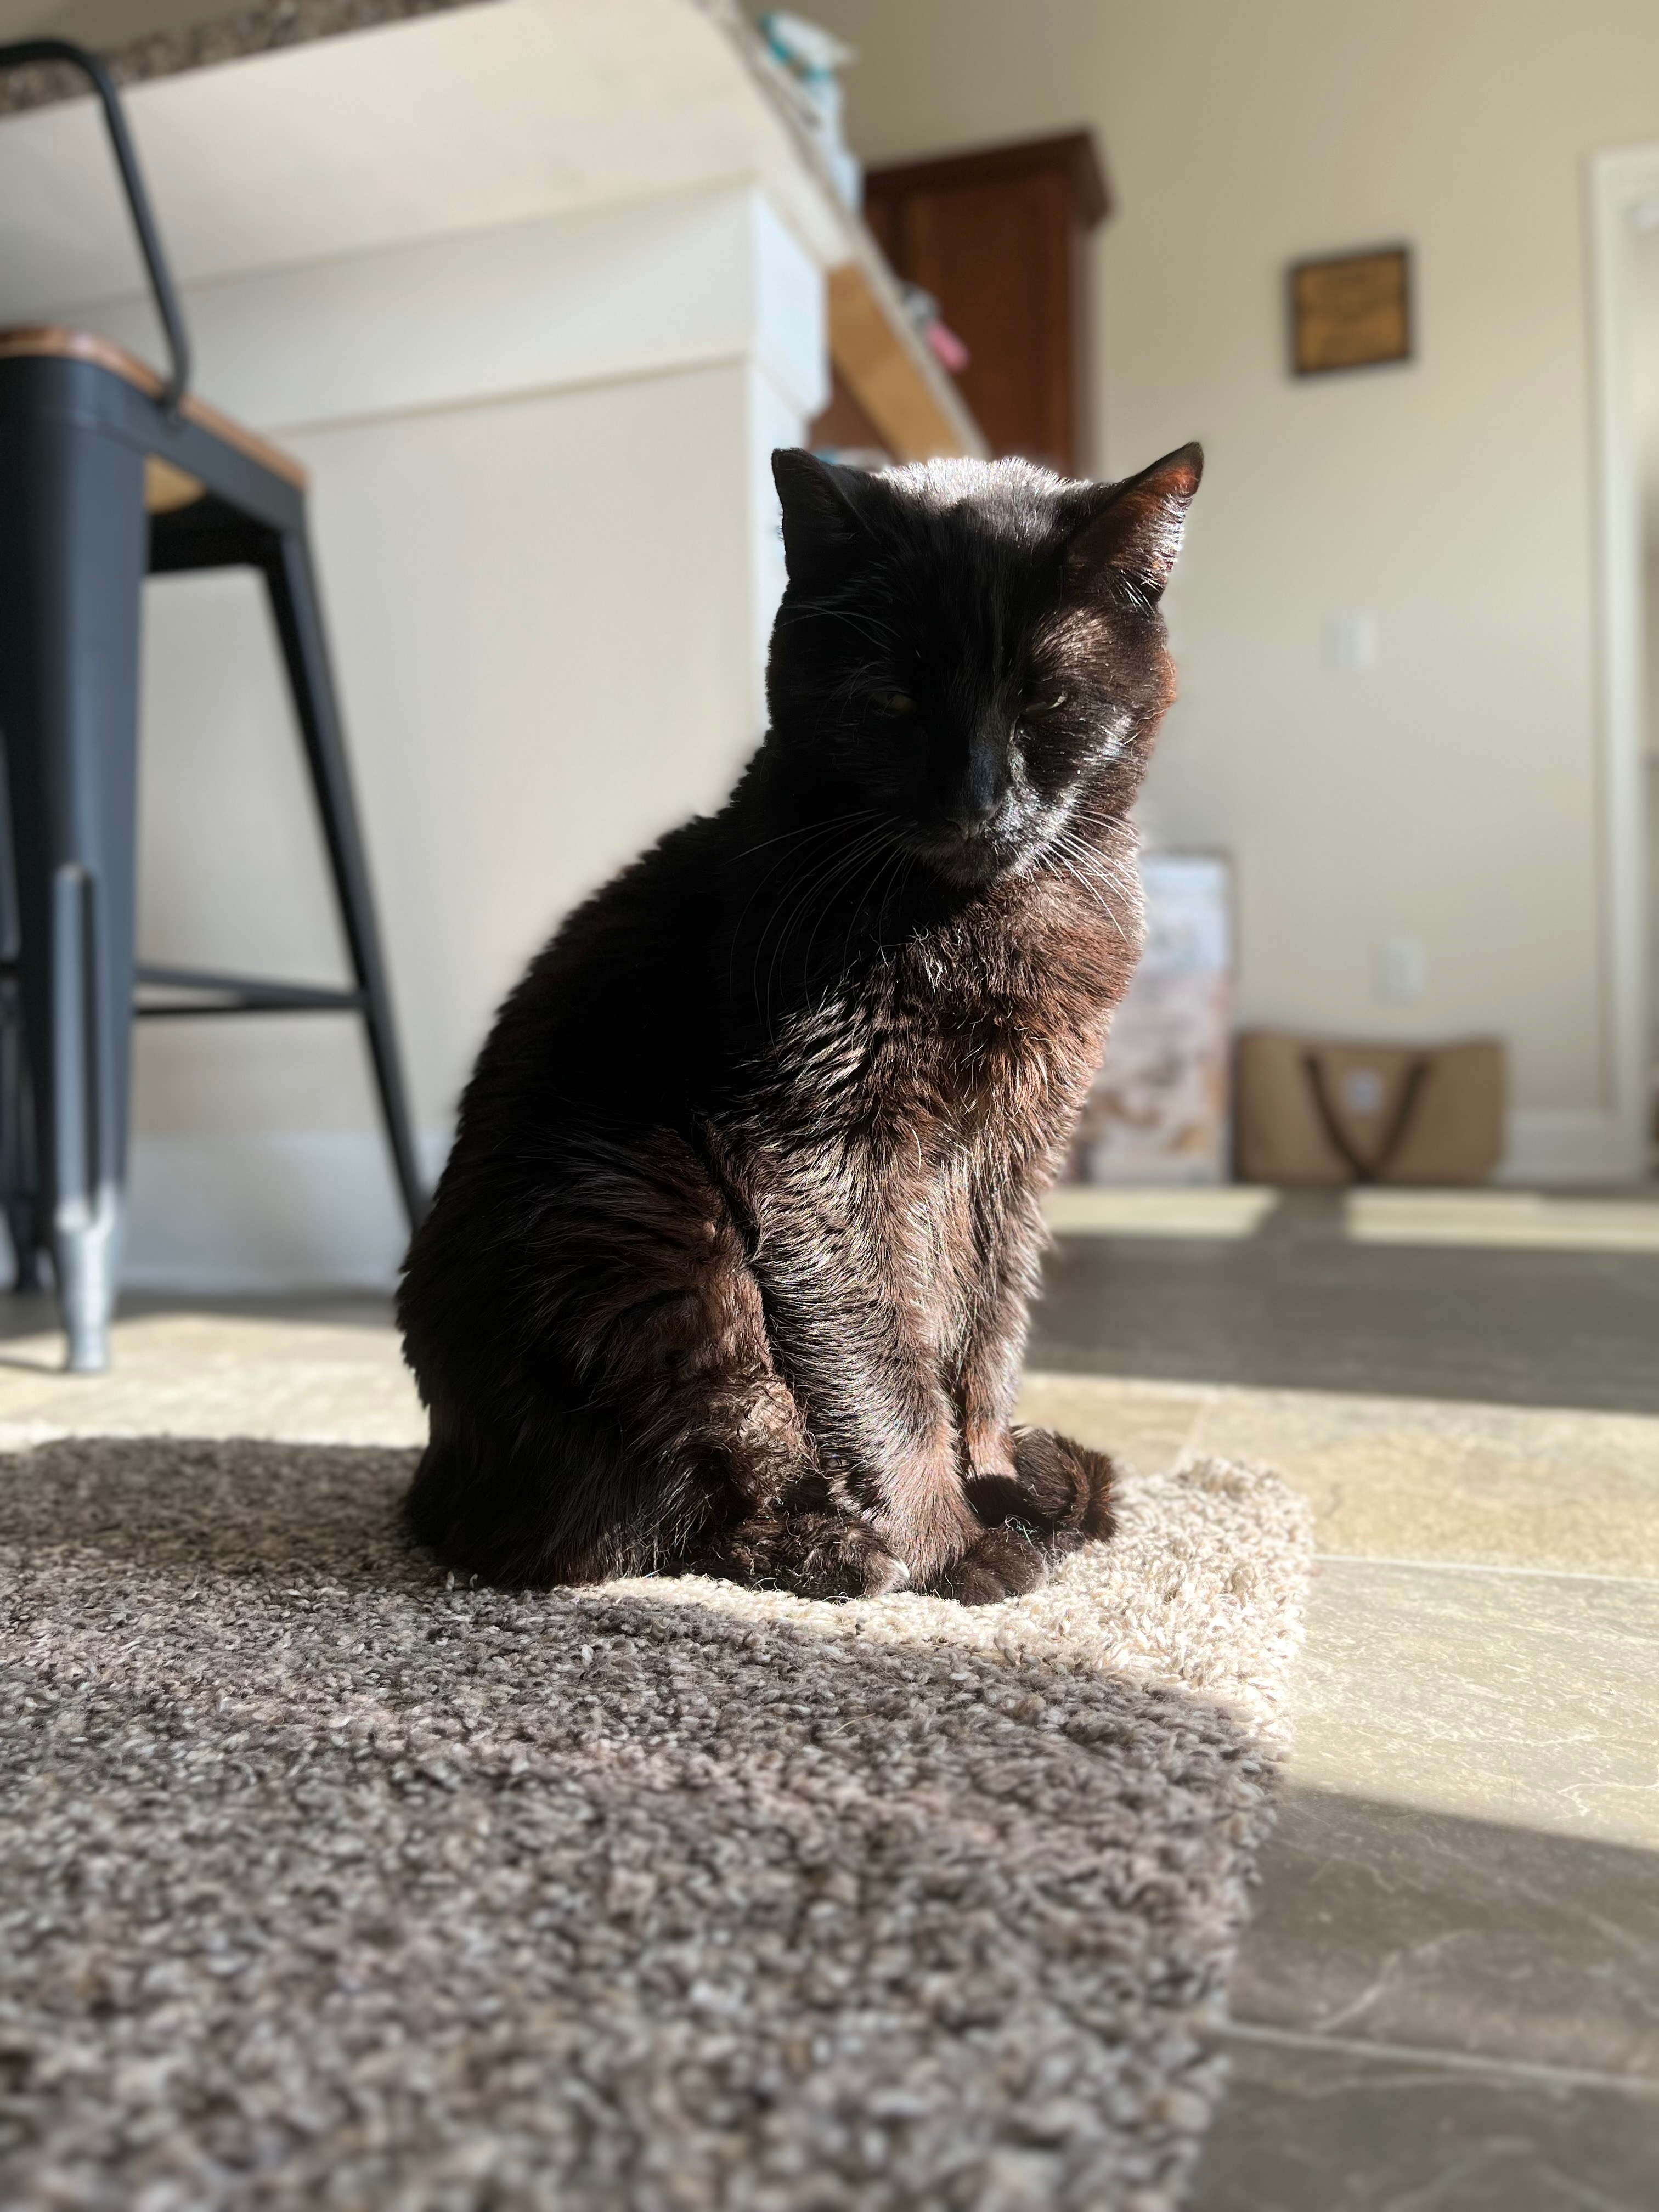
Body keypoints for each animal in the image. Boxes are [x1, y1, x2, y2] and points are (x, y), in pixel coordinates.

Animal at [397, 441, 1202, 1604]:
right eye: (895, 698)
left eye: (1046, 697)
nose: (981, 804)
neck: (968, 920)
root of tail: (437, 1474)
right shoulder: (821, 1149)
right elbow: (881, 1366)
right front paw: (950, 1542)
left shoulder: (1016, 1153)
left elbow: (985, 1336)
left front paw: (994, 1475)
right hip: (651, 1238)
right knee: (637, 1520)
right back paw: (849, 1549)